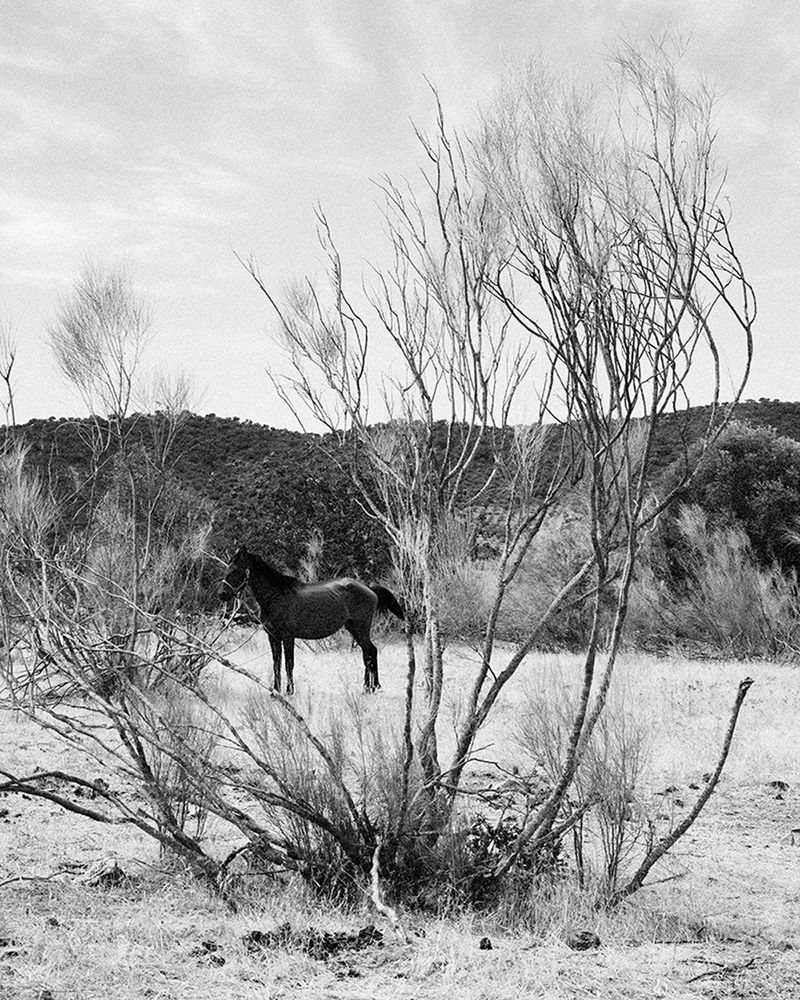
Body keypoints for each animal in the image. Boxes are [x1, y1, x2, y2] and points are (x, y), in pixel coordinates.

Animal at [219, 545, 405, 694]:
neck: (276, 596)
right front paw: (276, 691)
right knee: (368, 653)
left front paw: (289, 691)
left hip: (361, 628)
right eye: (227, 569)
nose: (222, 594)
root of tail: (368, 588)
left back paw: (372, 687)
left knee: (370, 652)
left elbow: (289, 664)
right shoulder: (273, 637)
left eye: (235, 571)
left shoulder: (288, 637)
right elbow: (276, 664)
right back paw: (368, 687)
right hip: (354, 628)